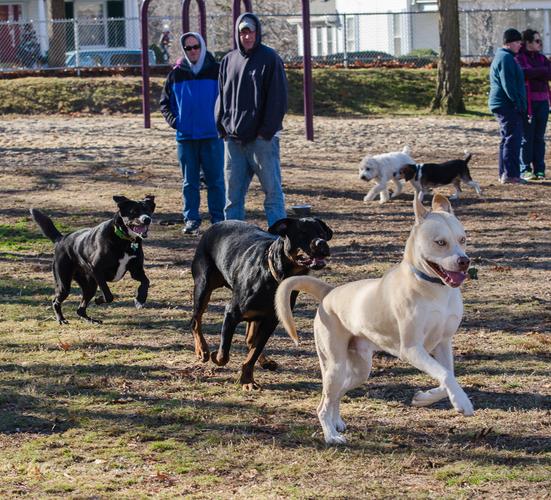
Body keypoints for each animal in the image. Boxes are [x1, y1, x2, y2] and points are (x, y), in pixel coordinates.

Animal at [30, 195, 155, 324]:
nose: (147, 219)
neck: (124, 240)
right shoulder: (97, 269)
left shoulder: (136, 270)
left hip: (89, 286)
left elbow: (146, 281)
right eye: (134, 211)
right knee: (56, 301)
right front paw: (99, 299)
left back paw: (91, 320)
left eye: (148, 210)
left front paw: (140, 299)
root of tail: (61, 239)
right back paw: (61, 319)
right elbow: (108, 295)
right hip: (64, 284)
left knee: (80, 310)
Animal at [192, 219, 334, 390]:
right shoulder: (231, 313)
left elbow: (253, 352)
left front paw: (247, 380)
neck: (275, 277)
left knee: (250, 339)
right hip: (203, 286)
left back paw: (265, 361)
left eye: (322, 233)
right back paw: (202, 350)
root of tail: (217, 224)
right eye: (302, 233)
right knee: (195, 321)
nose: (322, 243)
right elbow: (224, 354)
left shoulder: (270, 322)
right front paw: (216, 356)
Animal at [276, 193, 474, 444]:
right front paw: (463, 403)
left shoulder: (443, 343)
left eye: (462, 239)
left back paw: (336, 421)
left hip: (360, 370)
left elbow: (447, 375)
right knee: (323, 403)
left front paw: (425, 397)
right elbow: (445, 374)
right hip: (334, 365)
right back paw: (331, 435)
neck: (434, 289)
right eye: (440, 243)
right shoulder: (411, 349)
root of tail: (329, 292)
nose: (464, 261)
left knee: (337, 394)